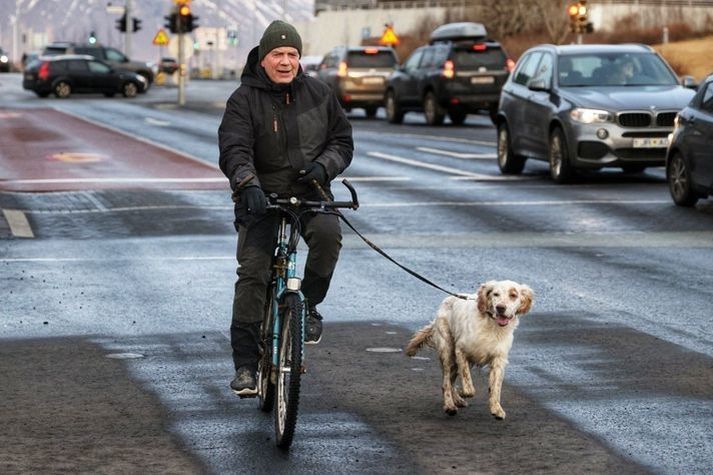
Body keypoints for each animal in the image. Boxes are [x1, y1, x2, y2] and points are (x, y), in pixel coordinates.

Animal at [406, 280, 536, 418]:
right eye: (495, 294)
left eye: (513, 295)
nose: (500, 308)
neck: (492, 326)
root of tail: (447, 300)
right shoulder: (461, 351)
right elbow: (469, 387)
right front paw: (463, 392)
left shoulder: (498, 360)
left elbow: (495, 388)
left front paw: (496, 409)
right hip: (448, 352)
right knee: (446, 383)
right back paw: (450, 406)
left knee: (450, 381)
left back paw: (457, 400)